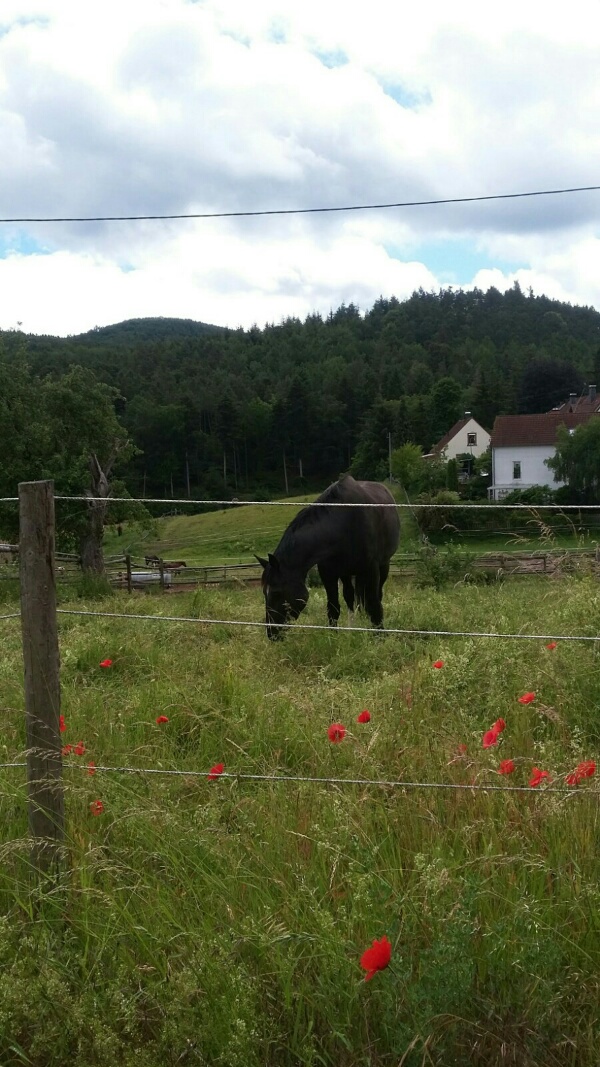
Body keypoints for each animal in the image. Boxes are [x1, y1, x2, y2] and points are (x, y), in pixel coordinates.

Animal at [256, 474, 400, 640]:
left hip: (383, 565)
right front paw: (333, 636)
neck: (343, 523)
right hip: (346, 572)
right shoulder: (328, 573)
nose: (272, 633)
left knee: (375, 595)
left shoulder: (371, 569)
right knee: (350, 596)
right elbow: (333, 606)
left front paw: (380, 637)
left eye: (276, 592)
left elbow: (374, 604)